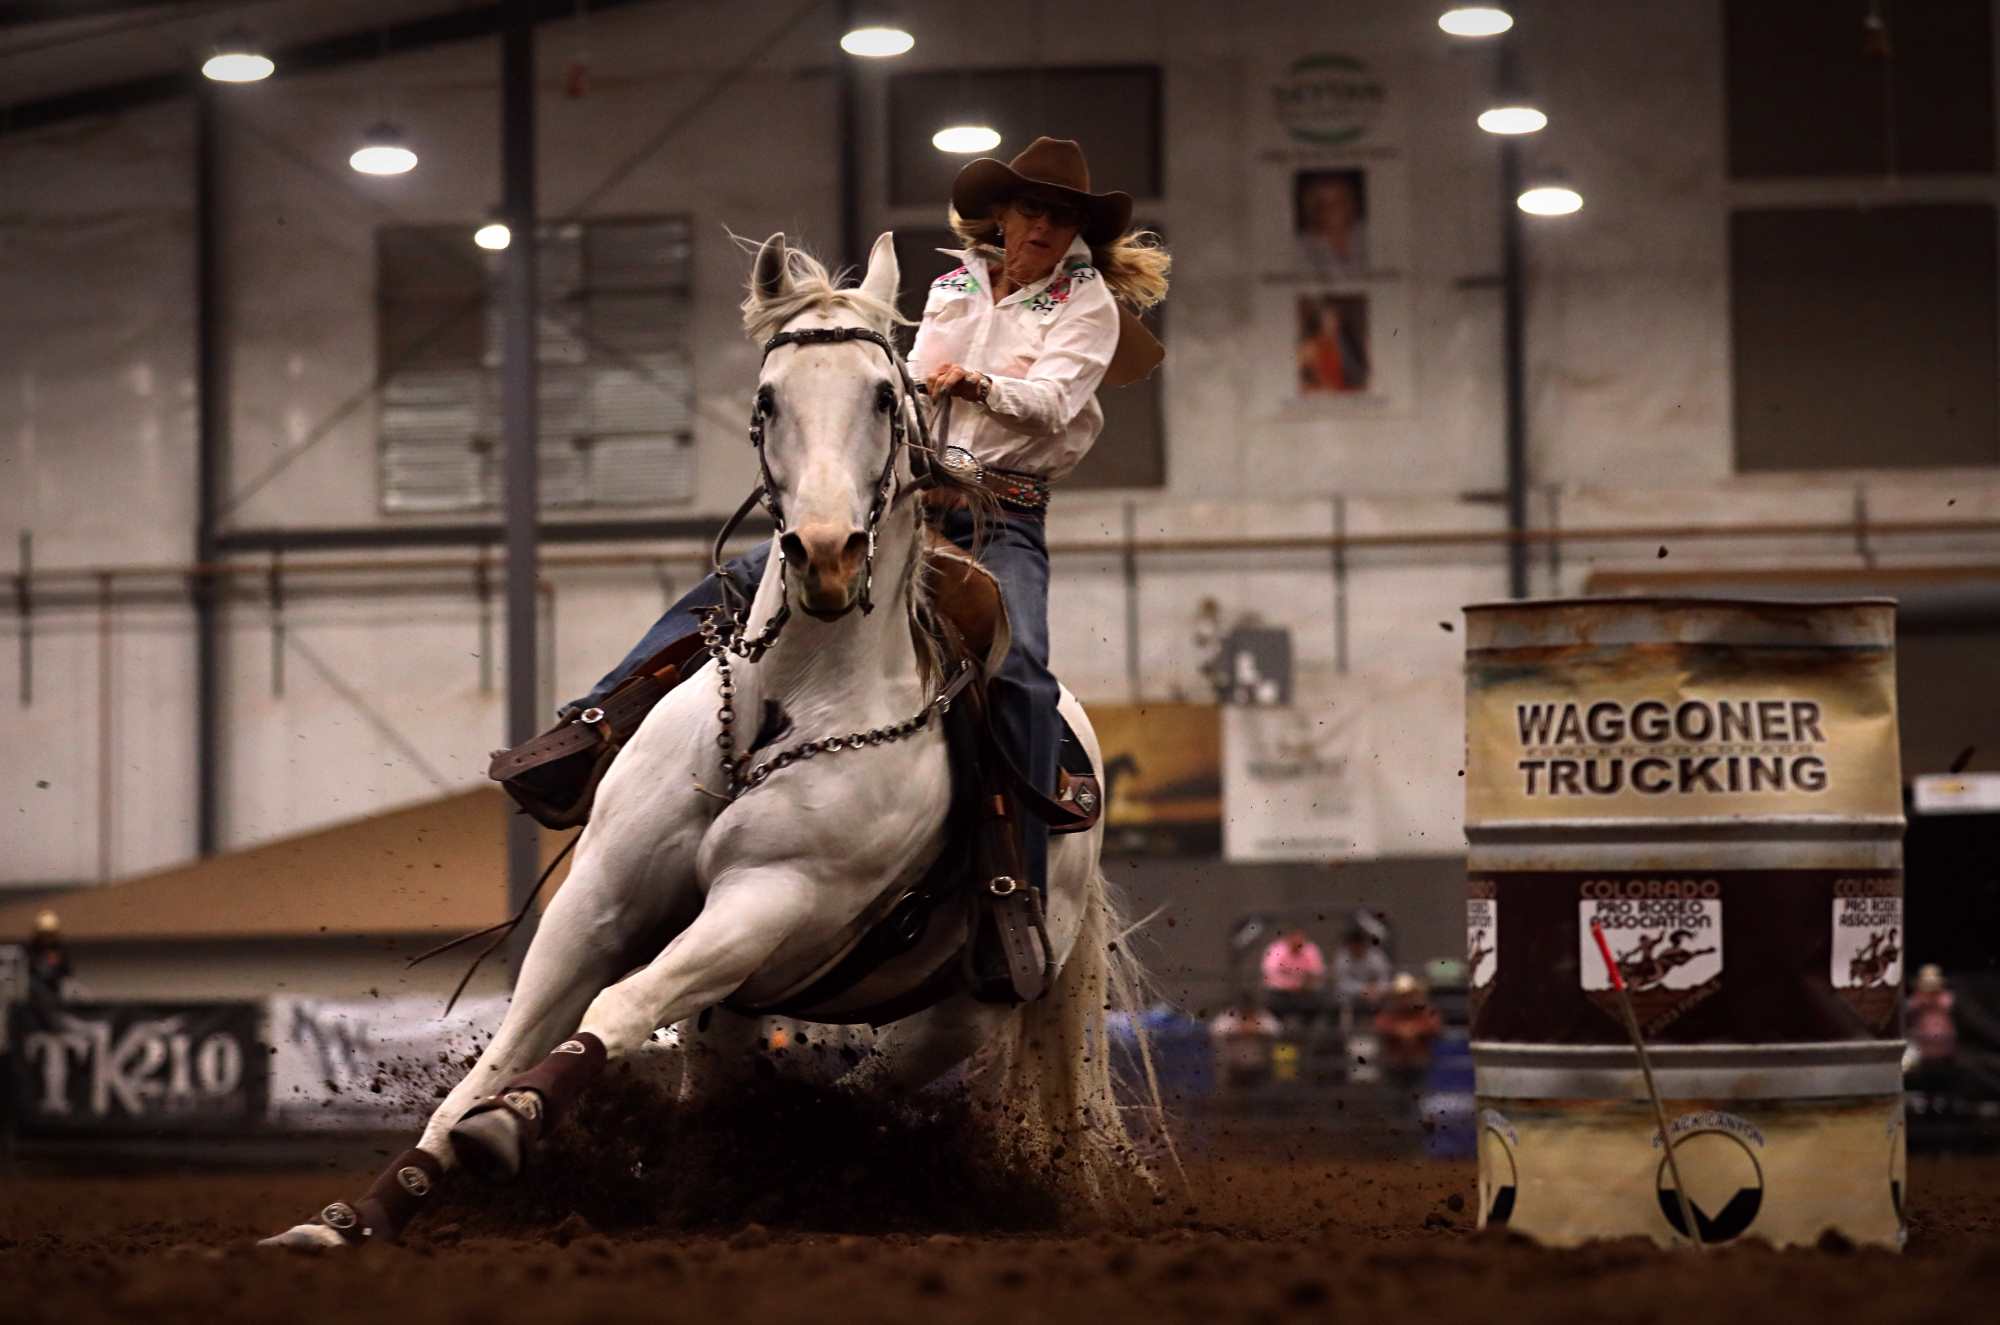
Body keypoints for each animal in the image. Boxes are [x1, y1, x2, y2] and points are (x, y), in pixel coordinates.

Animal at [274, 231, 1168, 1256]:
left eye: (883, 395)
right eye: (768, 397)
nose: (827, 555)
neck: (790, 704)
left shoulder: (771, 898)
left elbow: (616, 1009)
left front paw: (512, 1124)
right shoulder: (603, 894)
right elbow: (496, 1056)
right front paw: (364, 1212)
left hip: (958, 1009)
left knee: (856, 1098)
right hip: (737, 1006)